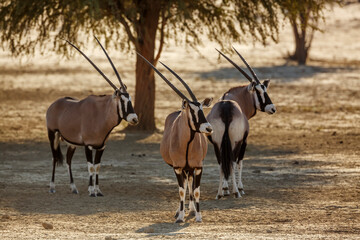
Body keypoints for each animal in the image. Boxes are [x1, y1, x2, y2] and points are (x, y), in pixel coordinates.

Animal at [46, 36, 138, 196]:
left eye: (130, 99)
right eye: (122, 100)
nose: (134, 118)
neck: (101, 114)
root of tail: (54, 104)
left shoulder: (101, 146)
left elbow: (97, 166)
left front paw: (98, 190)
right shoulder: (88, 146)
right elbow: (90, 166)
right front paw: (91, 191)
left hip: (71, 143)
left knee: (68, 160)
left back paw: (74, 188)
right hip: (52, 134)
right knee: (54, 158)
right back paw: (52, 187)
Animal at [137, 52, 211, 223]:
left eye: (202, 109)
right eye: (192, 111)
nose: (208, 128)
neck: (187, 143)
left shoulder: (198, 167)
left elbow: (196, 191)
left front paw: (198, 216)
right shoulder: (177, 167)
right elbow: (181, 190)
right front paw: (180, 217)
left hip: (189, 168)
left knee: (189, 183)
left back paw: (191, 209)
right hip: (180, 168)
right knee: (183, 185)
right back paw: (180, 211)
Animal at [205, 47, 276, 199]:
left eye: (265, 90)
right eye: (259, 92)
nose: (272, 108)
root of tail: (226, 108)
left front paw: (225, 188)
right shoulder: (244, 140)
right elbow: (240, 162)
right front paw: (240, 188)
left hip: (218, 142)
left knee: (222, 162)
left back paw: (219, 193)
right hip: (235, 141)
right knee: (233, 161)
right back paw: (236, 192)